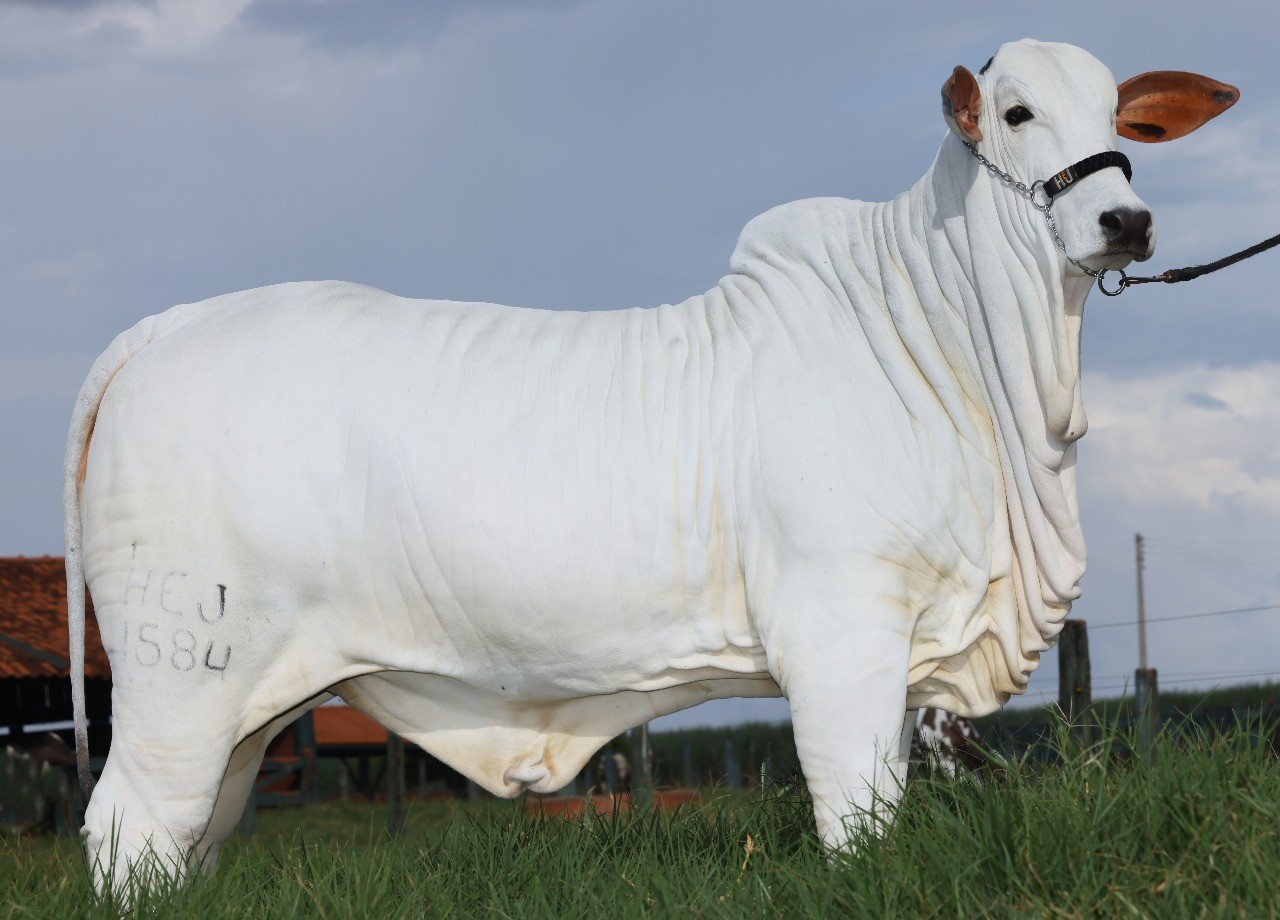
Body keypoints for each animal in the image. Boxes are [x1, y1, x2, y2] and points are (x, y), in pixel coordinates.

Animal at [63, 40, 1236, 893]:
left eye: (1120, 118)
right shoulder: (839, 629)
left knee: (193, 838)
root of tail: (165, 328)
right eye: (1016, 112)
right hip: (182, 673)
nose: (1124, 219)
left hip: (245, 713)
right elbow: (854, 813)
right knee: (129, 824)